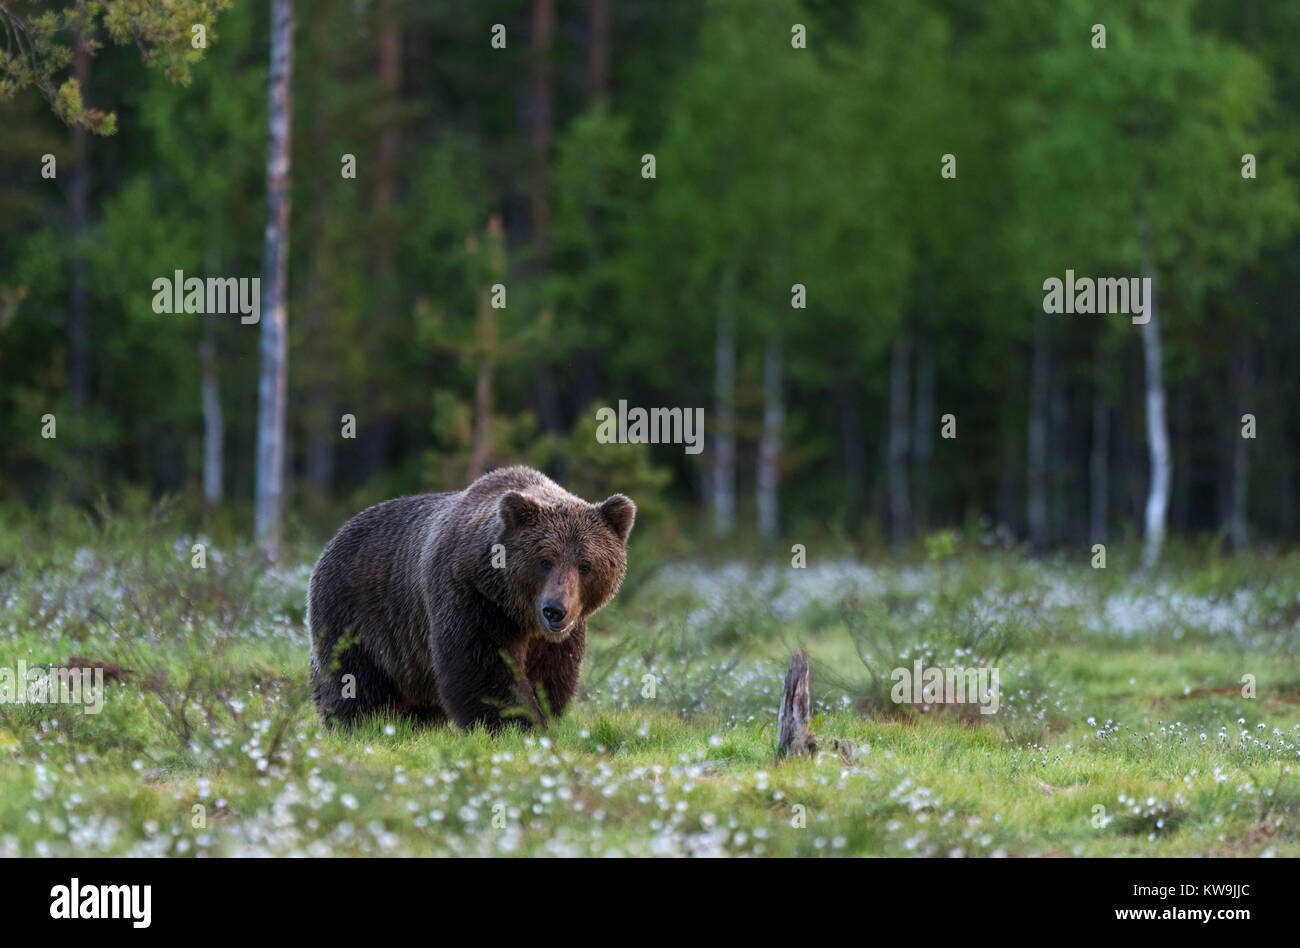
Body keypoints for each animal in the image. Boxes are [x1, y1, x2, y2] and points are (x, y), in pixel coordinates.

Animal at [309, 468, 634, 733]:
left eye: (585, 565)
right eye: (545, 561)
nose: (555, 610)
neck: (517, 610)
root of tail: (336, 536)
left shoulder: (556, 635)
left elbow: (552, 674)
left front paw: (544, 716)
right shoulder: (470, 596)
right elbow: (482, 667)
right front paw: (517, 725)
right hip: (357, 612)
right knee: (352, 676)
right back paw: (356, 724)